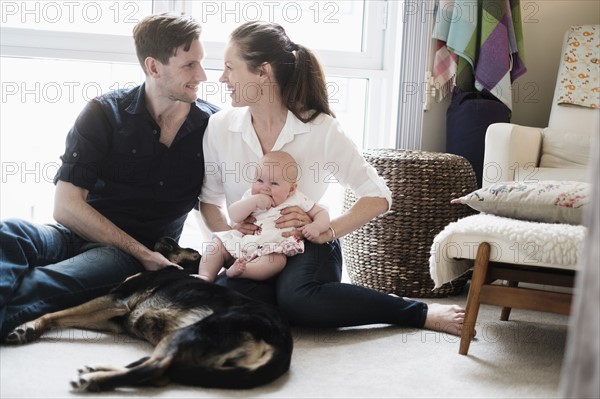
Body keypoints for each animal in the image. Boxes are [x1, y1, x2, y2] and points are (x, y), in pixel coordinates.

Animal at [3, 239, 294, 392]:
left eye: (189, 249)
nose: (166, 238)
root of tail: (283, 342)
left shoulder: (116, 300)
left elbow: (55, 311)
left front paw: (28, 326)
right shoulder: (113, 318)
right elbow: (61, 315)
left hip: (194, 331)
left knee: (155, 368)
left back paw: (94, 380)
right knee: (159, 372)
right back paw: (98, 370)